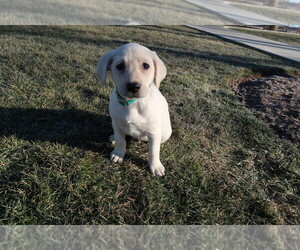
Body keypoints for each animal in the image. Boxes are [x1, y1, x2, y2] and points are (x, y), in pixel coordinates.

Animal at [96, 42, 171, 176]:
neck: (133, 103)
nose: (133, 86)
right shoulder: (116, 123)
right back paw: (113, 137)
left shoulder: (154, 131)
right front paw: (118, 154)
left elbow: (154, 150)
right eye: (119, 66)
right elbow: (121, 140)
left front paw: (155, 166)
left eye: (146, 66)